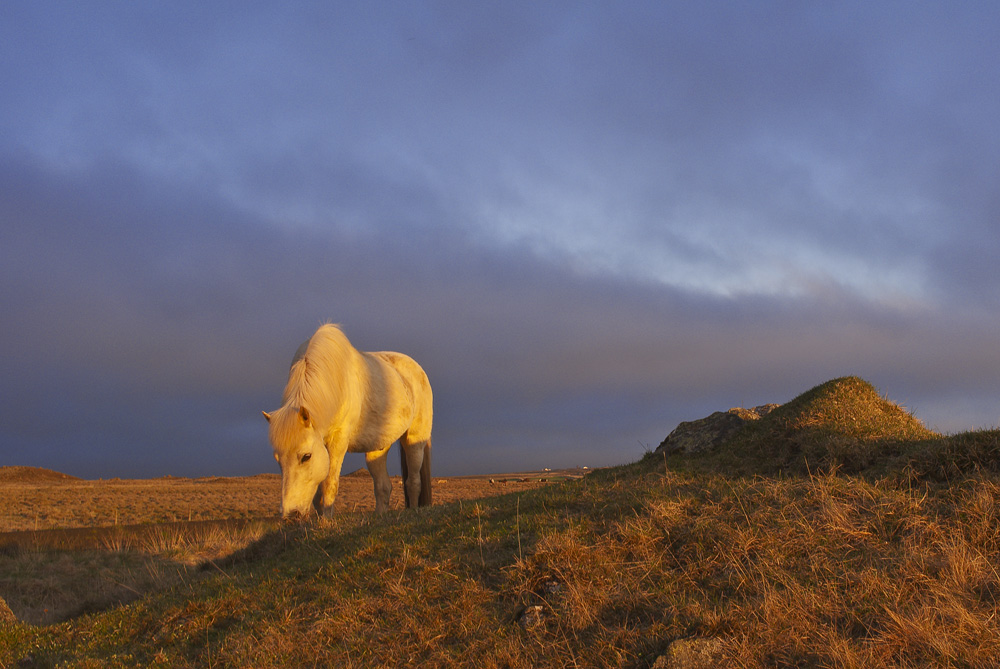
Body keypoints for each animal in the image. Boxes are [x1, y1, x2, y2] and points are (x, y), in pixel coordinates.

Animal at [260, 324, 432, 516]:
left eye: (306, 456)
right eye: (277, 458)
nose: (290, 513)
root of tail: (418, 370)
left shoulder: (338, 442)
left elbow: (329, 485)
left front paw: (327, 521)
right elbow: (318, 495)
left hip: (414, 441)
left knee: (413, 482)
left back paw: (414, 510)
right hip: (378, 449)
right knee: (383, 487)